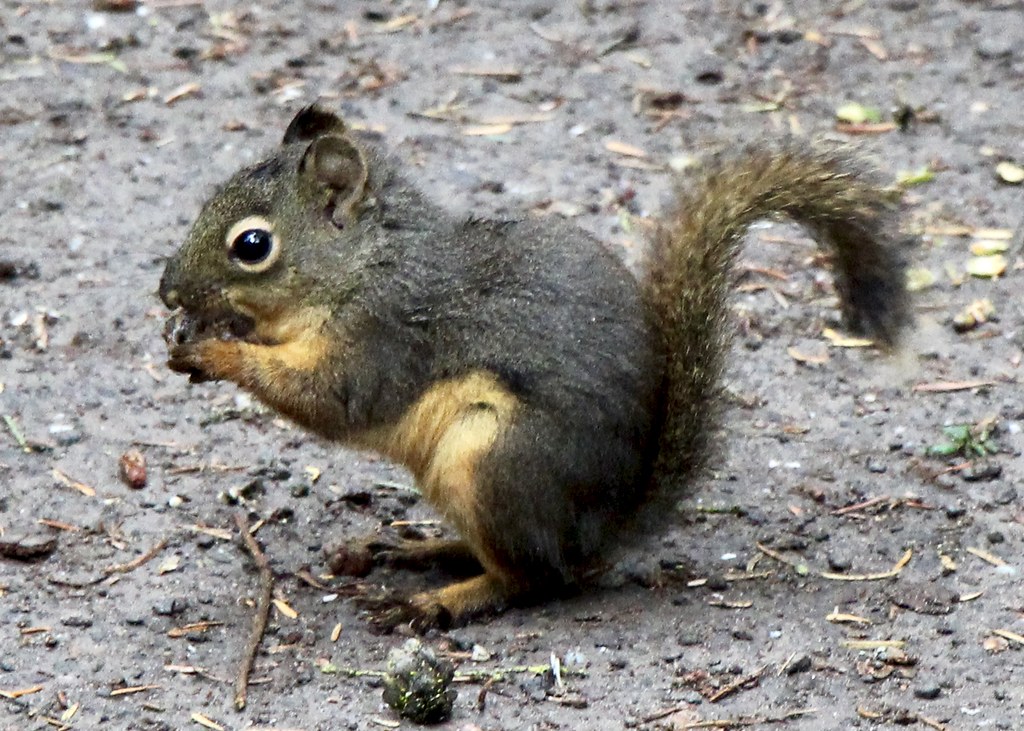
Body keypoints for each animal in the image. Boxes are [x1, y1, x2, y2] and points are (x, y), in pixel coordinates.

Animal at [159, 104, 909, 631]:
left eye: (252, 245)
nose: (166, 291)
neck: (363, 266)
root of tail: (603, 529)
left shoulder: (383, 337)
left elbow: (328, 399)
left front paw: (213, 350)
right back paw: (419, 551)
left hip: (492, 462)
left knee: (532, 577)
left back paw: (440, 601)